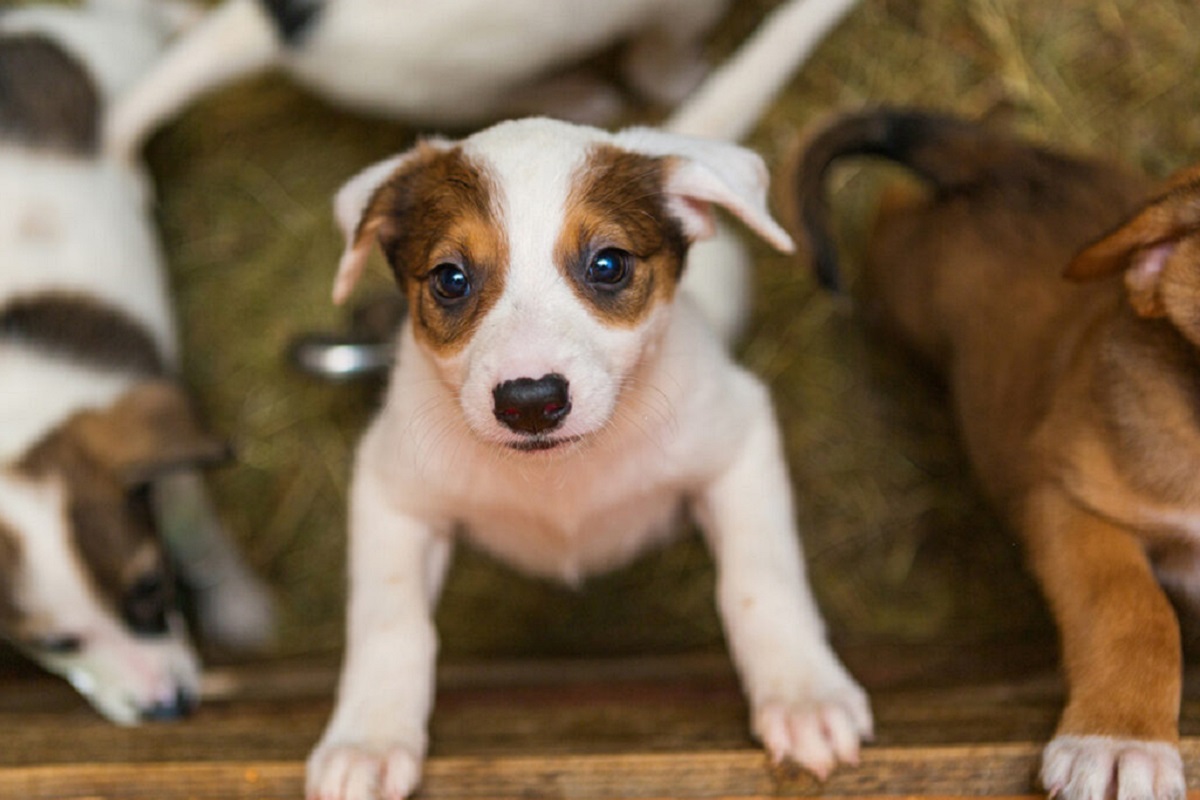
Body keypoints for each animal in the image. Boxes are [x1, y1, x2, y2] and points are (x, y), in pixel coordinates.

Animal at [0, 0, 272, 724]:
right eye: (55, 643)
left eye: (150, 587)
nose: (168, 709)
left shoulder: (170, 466)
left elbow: (200, 534)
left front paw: (241, 607)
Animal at [304, 1, 868, 800]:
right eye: (450, 279)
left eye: (608, 265)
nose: (530, 401)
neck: (560, 480)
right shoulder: (391, 488)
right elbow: (390, 620)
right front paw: (369, 736)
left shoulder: (740, 439)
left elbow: (761, 579)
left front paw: (803, 693)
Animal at [796, 107, 1200, 800]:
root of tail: (1006, 162)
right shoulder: (1067, 497)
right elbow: (1133, 610)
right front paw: (1121, 739)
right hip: (907, 274)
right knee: (889, 214)